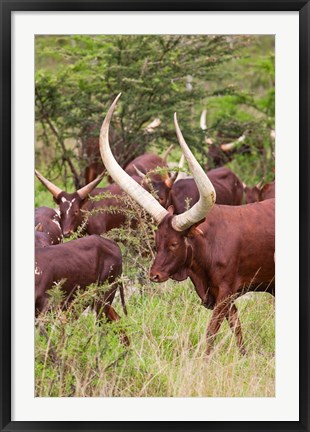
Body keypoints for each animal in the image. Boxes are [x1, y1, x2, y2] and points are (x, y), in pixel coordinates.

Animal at [98, 95, 274, 358]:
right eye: (157, 242)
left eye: (174, 243)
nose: (154, 275)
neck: (208, 243)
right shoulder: (220, 295)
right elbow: (236, 328)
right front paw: (243, 356)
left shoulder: (225, 292)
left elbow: (212, 332)